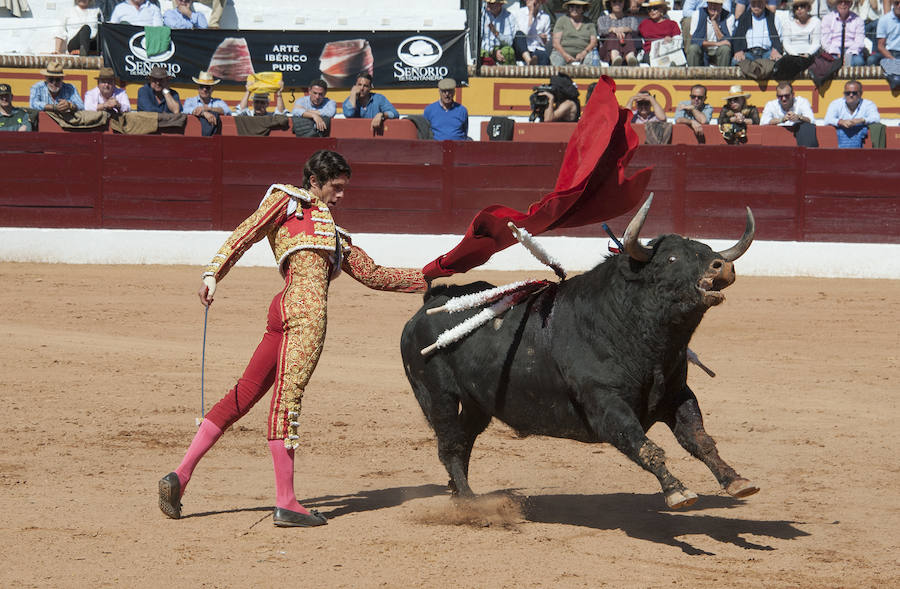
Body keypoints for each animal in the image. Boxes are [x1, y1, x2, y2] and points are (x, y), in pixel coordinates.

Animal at [400, 199, 760, 510]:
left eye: (707, 251)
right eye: (671, 259)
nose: (721, 265)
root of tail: (431, 302)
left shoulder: (677, 394)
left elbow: (699, 439)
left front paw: (737, 481)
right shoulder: (605, 403)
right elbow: (644, 446)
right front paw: (678, 492)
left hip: (477, 403)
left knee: (463, 442)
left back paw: (461, 494)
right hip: (438, 396)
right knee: (449, 445)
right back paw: (470, 504)